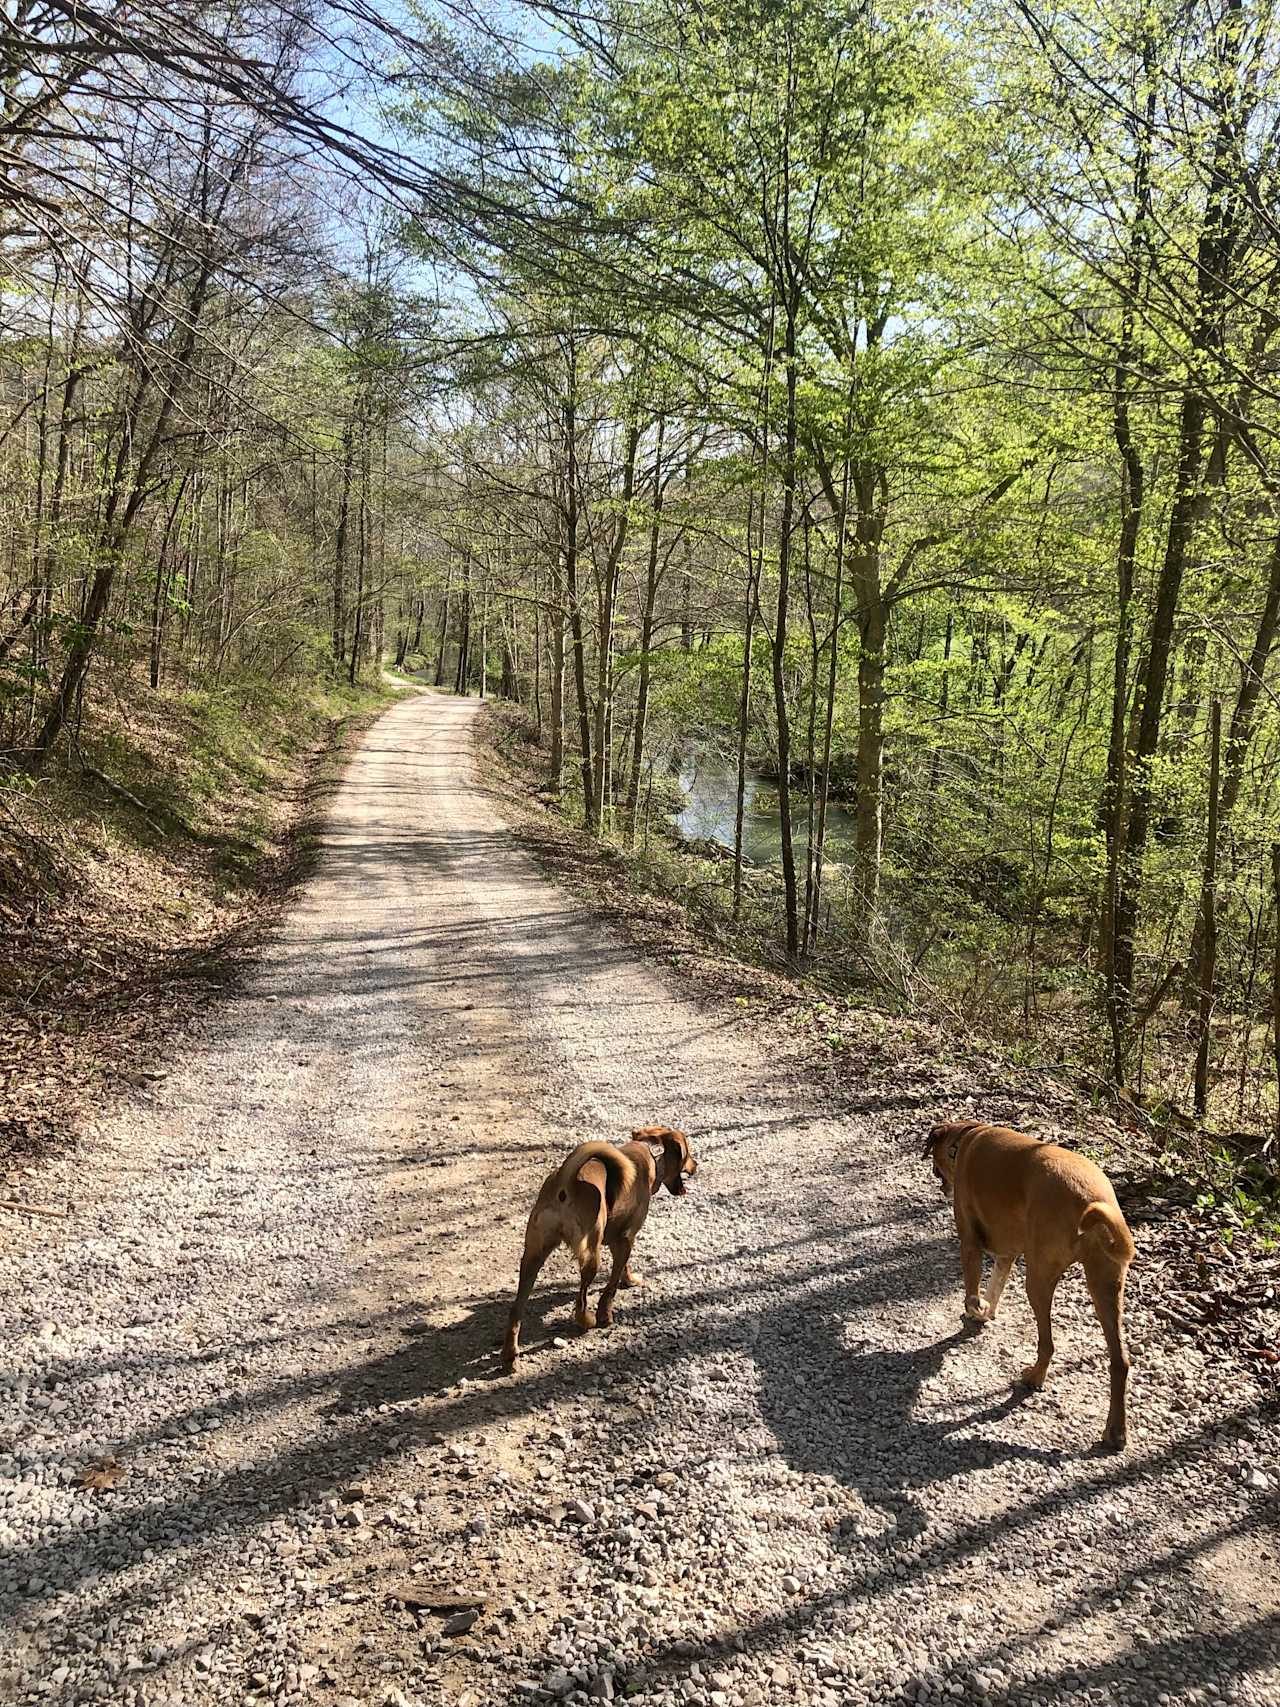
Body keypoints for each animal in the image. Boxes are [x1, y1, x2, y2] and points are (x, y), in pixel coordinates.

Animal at [505, 1126, 703, 1365]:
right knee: (580, 1301)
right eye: (688, 1153)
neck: (653, 1160)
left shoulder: (620, 1239)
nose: (696, 1165)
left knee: (516, 1309)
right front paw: (605, 1315)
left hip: (532, 1257)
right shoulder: (625, 1240)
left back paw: (510, 1354)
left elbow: (623, 1269)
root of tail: (566, 1182)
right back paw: (588, 1320)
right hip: (591, 1255)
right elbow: (611, 1286)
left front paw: (629, 1280)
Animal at [928, 1119, 1140, 1454]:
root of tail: (1092, 1198)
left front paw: (974, 1312)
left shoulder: (969, 1244)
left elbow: (972, 1291)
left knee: (1048, 1343)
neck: (966, 1137)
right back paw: (1116, 1432)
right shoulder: (1007, 1255)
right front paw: (985, 1312)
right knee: (1120, 1361)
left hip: (1039, 1280)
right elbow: (995, 1287)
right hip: (1106, 1286)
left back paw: (1034, 1377)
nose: (941, 1185)